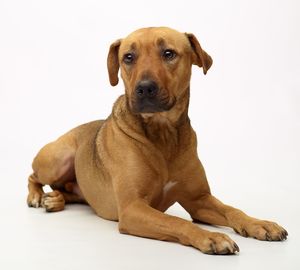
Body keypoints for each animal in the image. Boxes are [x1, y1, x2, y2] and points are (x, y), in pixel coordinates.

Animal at [28, 27, 288, 255]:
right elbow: (175, 221)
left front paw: (259, 224)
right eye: (128, 57)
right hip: (57, 159)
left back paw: (55, 199)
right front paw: (211, 237)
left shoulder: (198, 200)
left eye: (168, 53)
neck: (163, 135)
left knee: (65, 190)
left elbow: (232, 209)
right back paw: (37, 196)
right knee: (34, 176)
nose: (144, 88)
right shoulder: (133, 208)